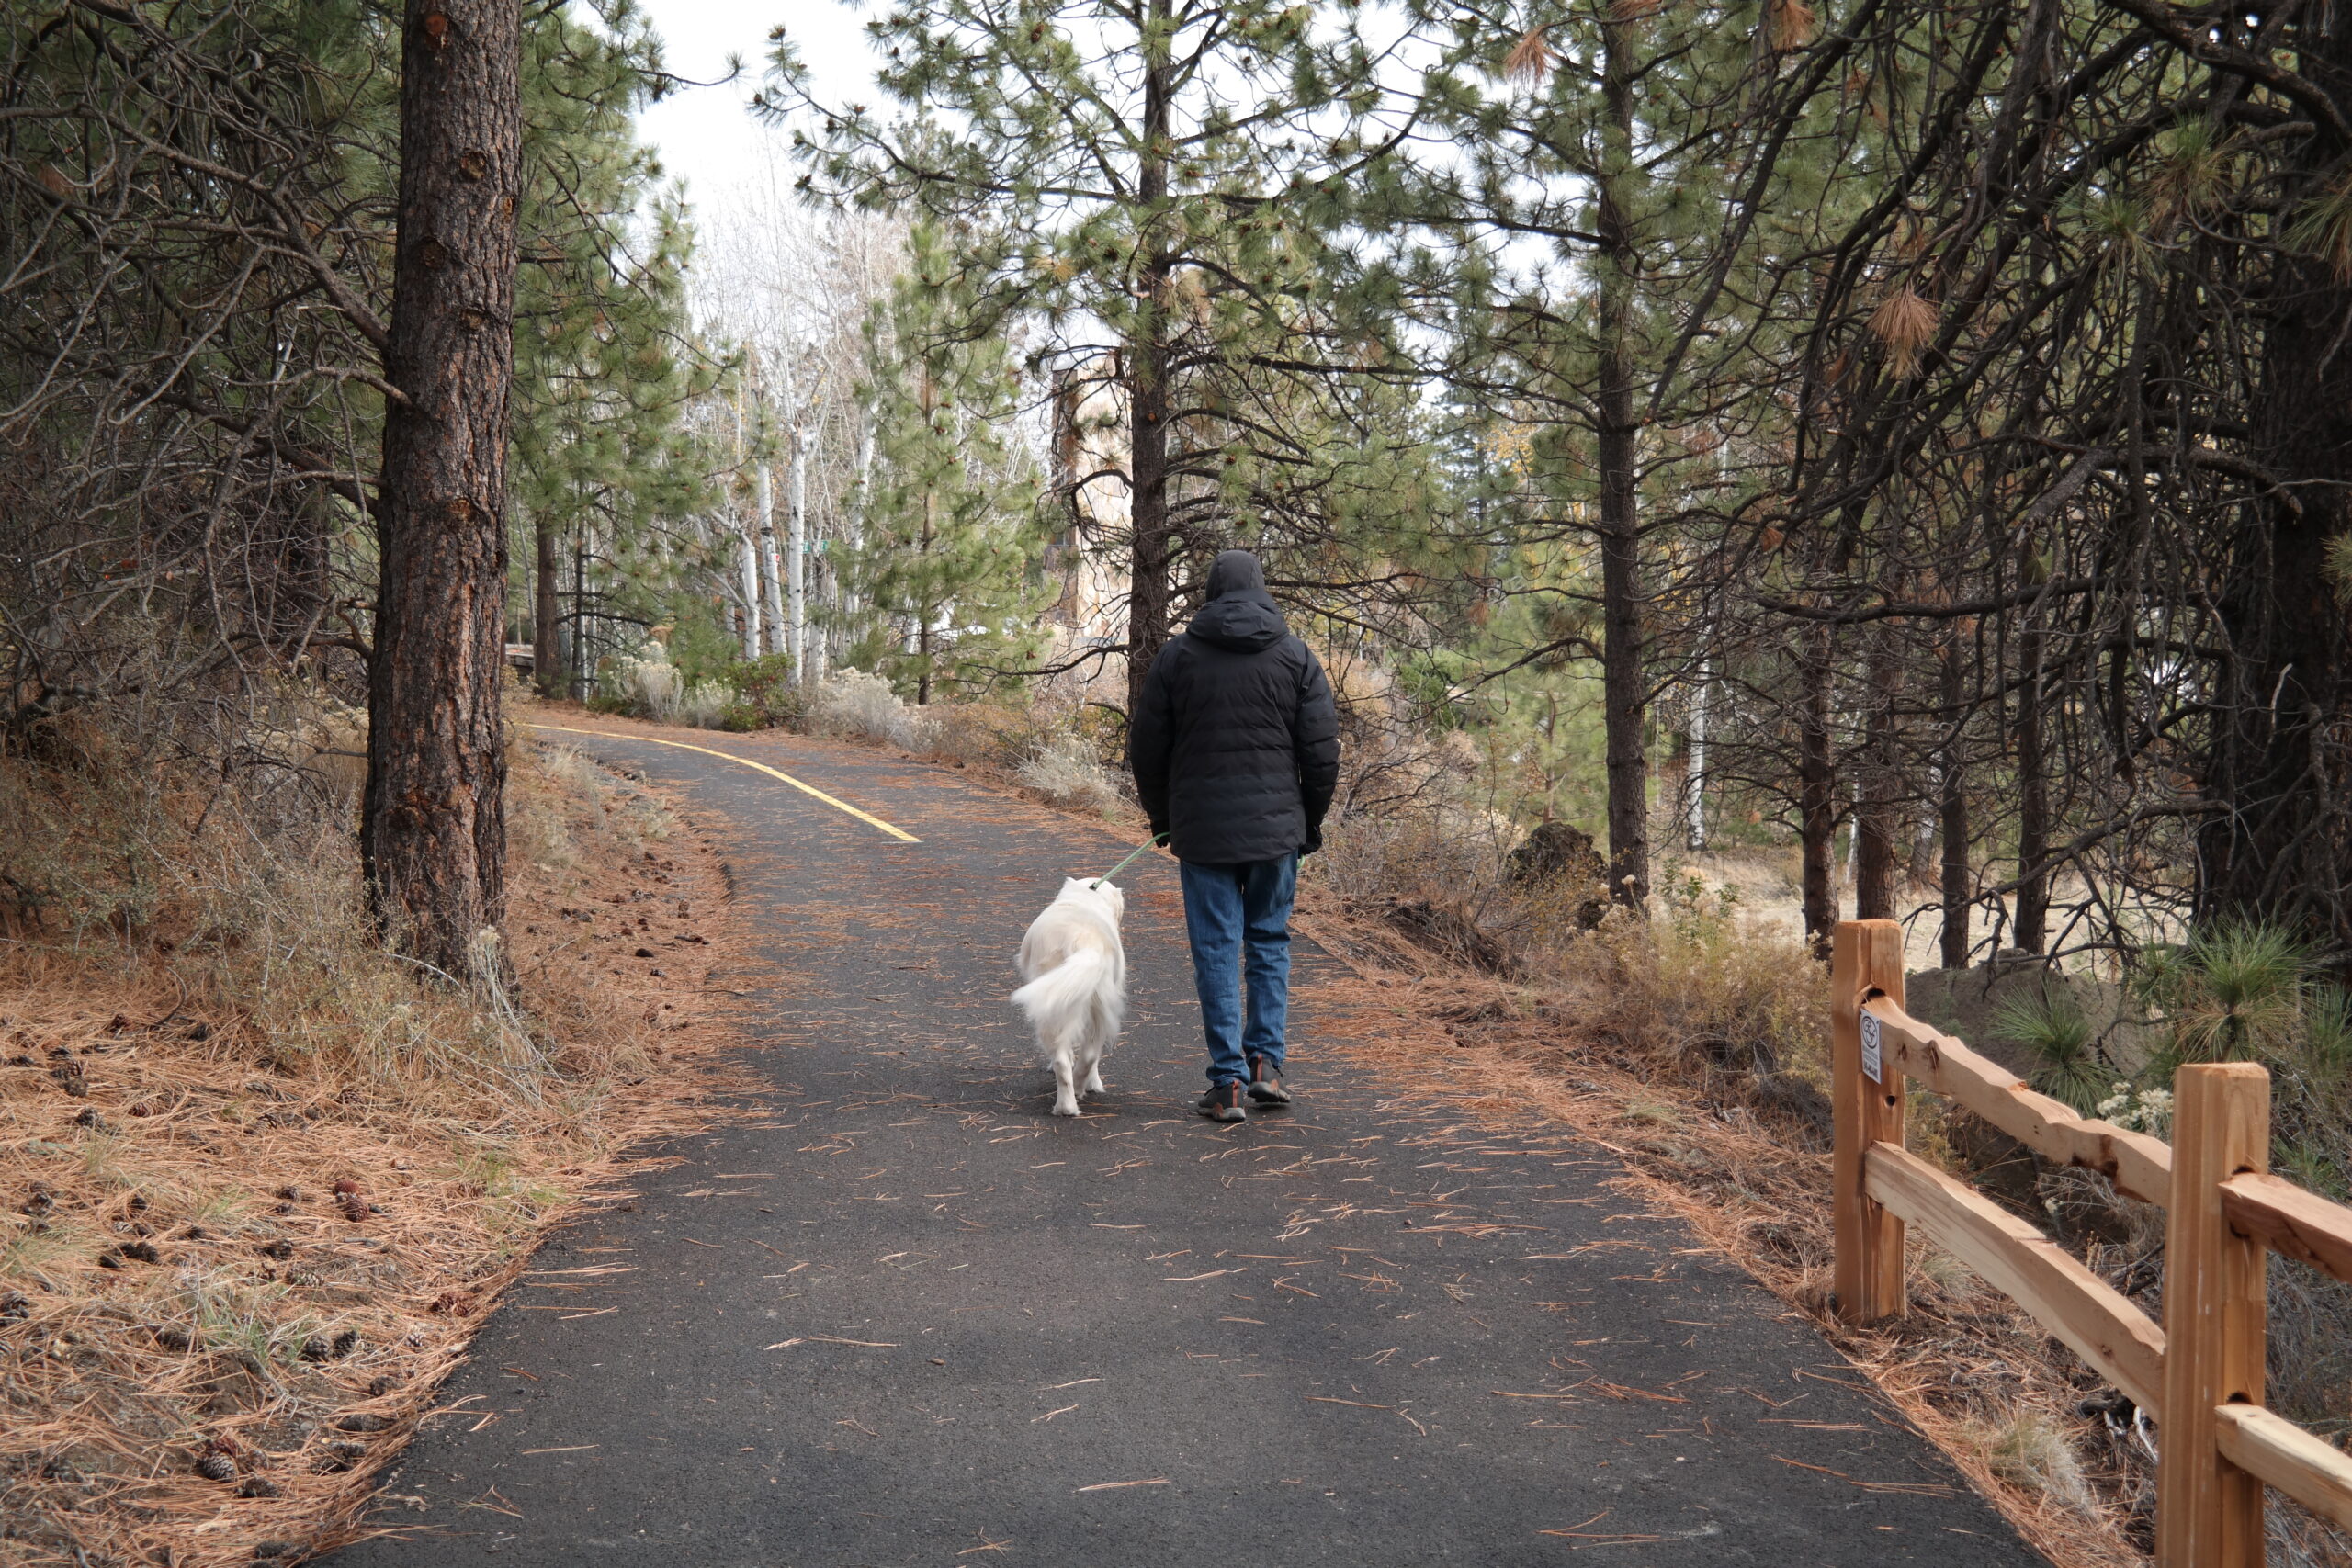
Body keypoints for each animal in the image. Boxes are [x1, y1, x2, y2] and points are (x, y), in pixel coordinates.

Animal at [1006, 884, 1124, 1114]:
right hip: (1088, 1006)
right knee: (1084, 1055)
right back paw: (1072, 1098)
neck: (1087, 895)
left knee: (1069, 1058)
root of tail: (1082, 940)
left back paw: (1068, 1103)